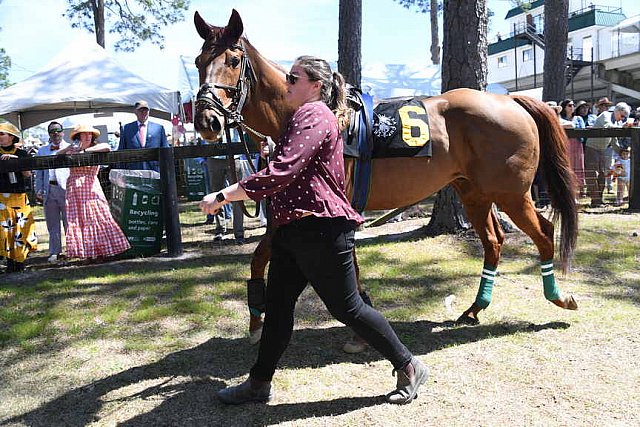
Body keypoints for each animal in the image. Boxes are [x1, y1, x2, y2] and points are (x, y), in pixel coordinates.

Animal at [192, 8, 576, 340]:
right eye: (199, 62)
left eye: (233, 60)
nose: (206, 121)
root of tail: (510, 101)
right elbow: (260, 258)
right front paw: (258, 319)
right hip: (474, 193)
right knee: (494, 241)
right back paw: (475, 308)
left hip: (511, 194)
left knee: (544, 233)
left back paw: (559, 297)